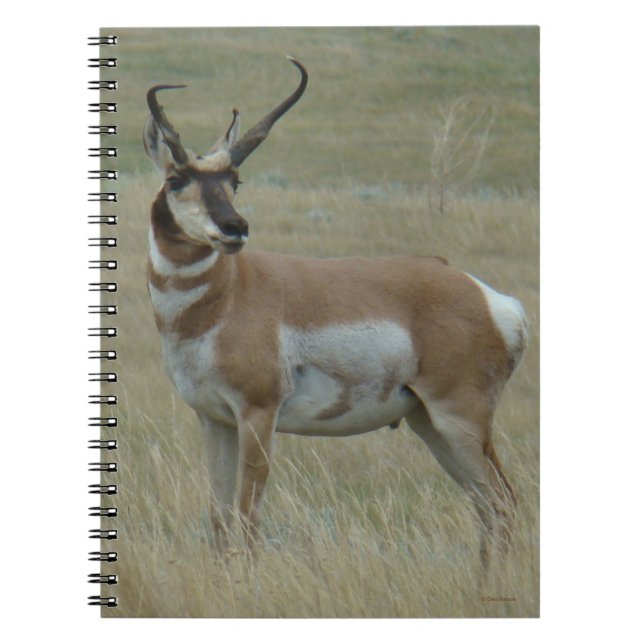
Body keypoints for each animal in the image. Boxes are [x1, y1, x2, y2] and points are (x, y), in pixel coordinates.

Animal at [144, 57, 528, 565]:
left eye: (234, 181)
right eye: (176, 179)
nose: (235, 227)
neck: (226, 297)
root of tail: (491, 299)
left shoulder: (258, 415)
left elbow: (247, 521)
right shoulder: (215, 419)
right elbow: (220, 521)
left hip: (459, 419)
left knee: (503, 501)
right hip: (431, 424)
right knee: (487, 505)